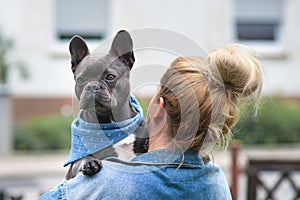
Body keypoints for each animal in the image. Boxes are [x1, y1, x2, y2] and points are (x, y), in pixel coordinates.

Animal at [66, 30, 149, 180]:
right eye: (80, 80)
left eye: (110, 77)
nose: (92, 86)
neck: (112, 121)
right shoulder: (71, 171)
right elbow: (80, 160)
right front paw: (89, 162)